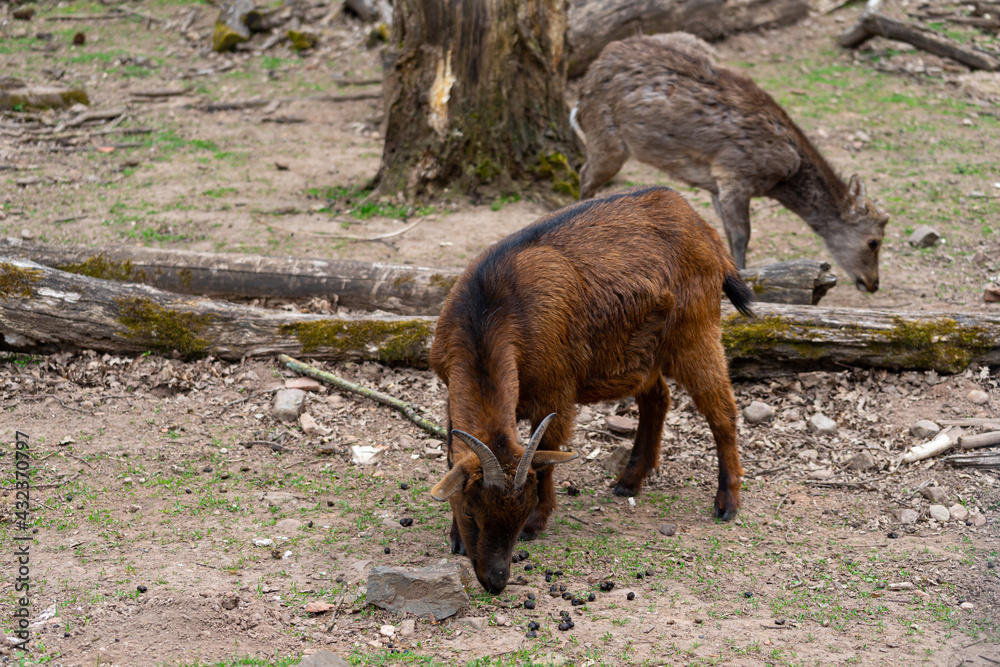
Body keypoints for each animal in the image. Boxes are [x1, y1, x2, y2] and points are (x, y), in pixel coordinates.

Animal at [428, 185, 753, 594]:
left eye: (519, 516)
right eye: (471, 511)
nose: (496, 580)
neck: (490, 310)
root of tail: (702, 226)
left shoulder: (555, 390)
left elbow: (548, 456)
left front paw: (538, 521)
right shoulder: (450, 386)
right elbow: (452, 454)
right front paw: (455, 537)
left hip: (695, 331)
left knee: (722, 411)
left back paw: (727, 503)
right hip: (644, 350)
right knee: (658, 399)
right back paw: (629, 481)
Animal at [572, 33, 890, 292]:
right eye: (873, 242)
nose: (873, 284)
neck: (784, 174)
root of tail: (583, 86)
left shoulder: (716, 183)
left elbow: (724, 231)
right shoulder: (736, 173)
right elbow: (741, 235)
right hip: (607, 139)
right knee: (585, 176)